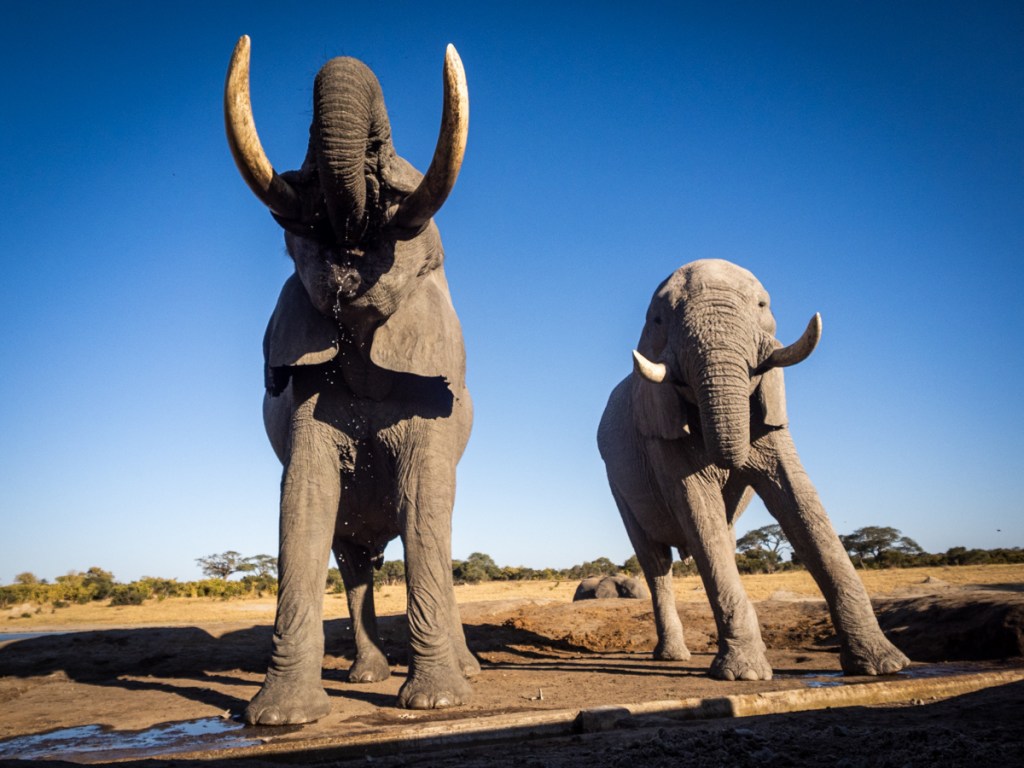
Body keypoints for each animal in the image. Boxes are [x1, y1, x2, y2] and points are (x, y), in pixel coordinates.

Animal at [224, 36, 477, 724]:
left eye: (417, 241)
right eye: (295, 244)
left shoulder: (432, 400)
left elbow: (424, 505)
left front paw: (438, 702)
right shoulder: (305, 396)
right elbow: (303, 502)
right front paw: (280, 717)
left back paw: (465, 674)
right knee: (353, 558)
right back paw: (366, 677)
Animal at [597, 259, 910, 681]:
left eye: (762, 305)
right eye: (658, 319)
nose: (731, 466)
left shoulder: (771, 416)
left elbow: (800, 504)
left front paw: (883, 665)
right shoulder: (659, 432)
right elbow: (699, 510)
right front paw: (743, 674)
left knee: (720, 541)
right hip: (617, 483)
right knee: (655, 561)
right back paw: (673, 657)